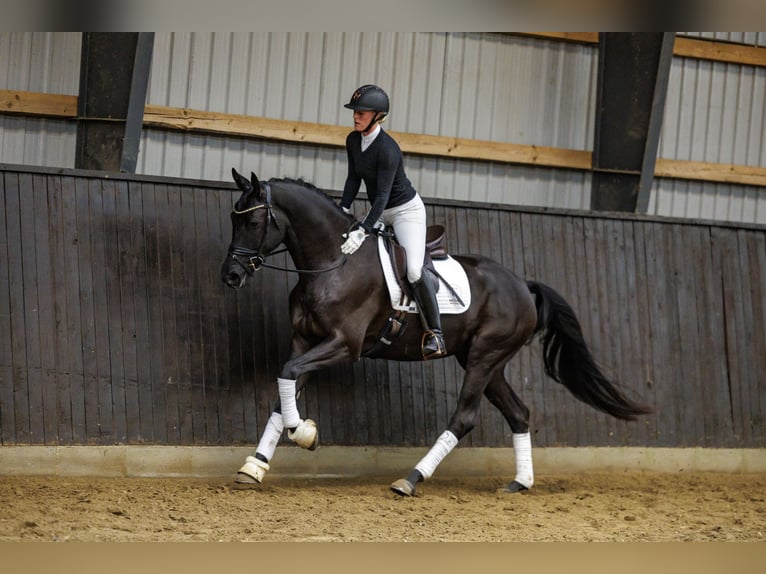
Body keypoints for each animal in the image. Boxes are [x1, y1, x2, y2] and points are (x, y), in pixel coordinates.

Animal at [219, 169, 652, 498]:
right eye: (232, 219)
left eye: (253, 222)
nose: (231, 276)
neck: (334, 263)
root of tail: (522, 285)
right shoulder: (305, 341)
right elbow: (283, 388)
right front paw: (255, 465)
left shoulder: (343, 344)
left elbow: (288, 376)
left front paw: (305, 433)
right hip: (487, 362)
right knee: (518, 413)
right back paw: (519, 482)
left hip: (483, 359)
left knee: (464, 417)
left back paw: (411, 479)